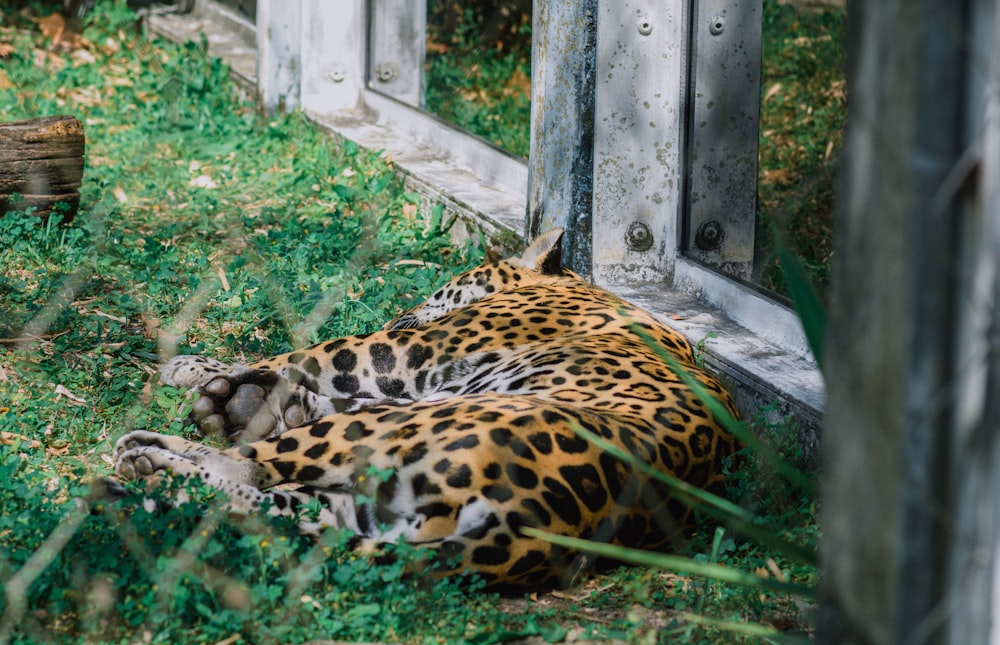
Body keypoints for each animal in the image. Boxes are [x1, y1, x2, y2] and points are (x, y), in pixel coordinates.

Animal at [113, 228, 740, 588]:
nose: (398, 314)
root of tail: (530, 527)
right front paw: (240, 389)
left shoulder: (411, 356)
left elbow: (312, 350)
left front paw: (192, 367)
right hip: (376, 500)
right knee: (276, 507)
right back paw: (168, 468)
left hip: (389, 428)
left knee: (253, 470)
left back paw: (147, 456)